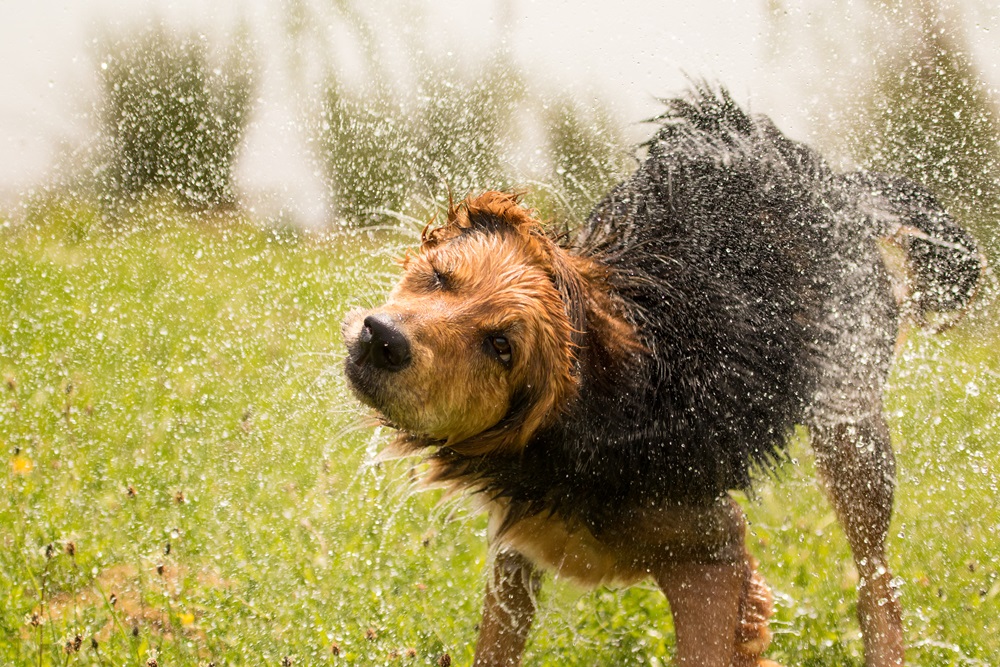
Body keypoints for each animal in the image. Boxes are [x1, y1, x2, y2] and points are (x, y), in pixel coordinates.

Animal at [340, 86, 980, 664]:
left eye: (502, 347)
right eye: (439, 277)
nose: (382, 338)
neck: (587, 416)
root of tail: (836, 187)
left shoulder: (710, 549)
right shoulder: (521, 545)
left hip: (851, 422)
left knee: (878, 584)